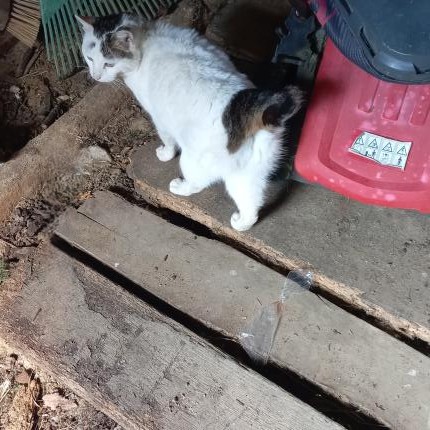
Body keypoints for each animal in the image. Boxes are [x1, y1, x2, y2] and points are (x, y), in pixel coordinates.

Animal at [76, 14, 302, 231]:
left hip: (193, 160)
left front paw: (165, 154)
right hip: (246, 175)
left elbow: (167, 141)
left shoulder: (160, 119)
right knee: (251, 207)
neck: (146, 37)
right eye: (89, 58)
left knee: (198, 183)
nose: (95, 76)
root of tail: (243, 106)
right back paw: (241, 224)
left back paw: (180, 187)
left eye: (108, 64)